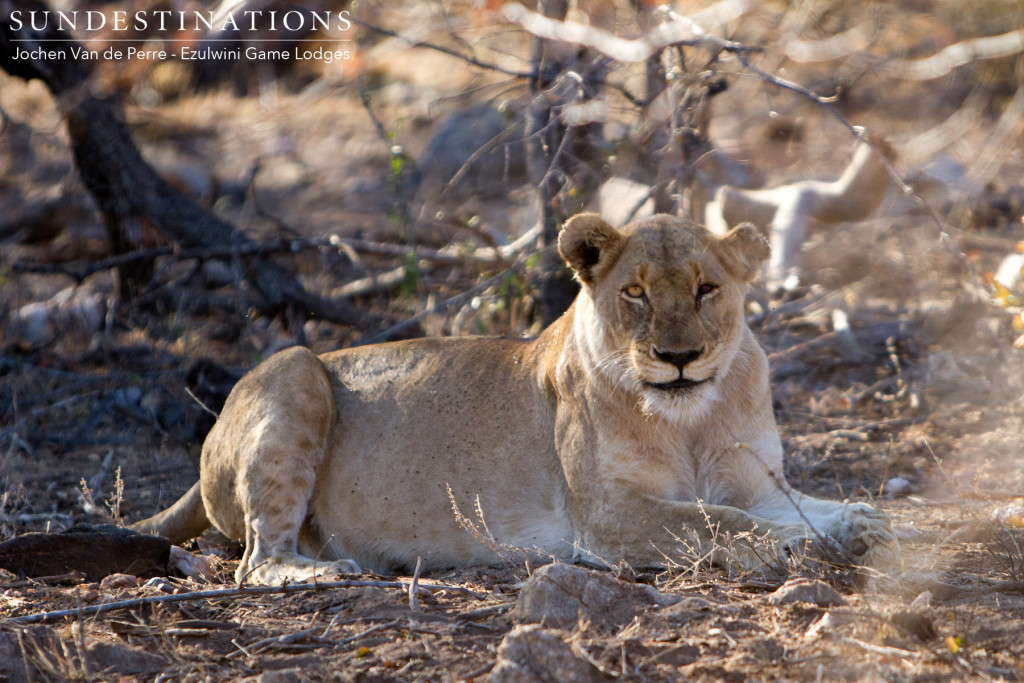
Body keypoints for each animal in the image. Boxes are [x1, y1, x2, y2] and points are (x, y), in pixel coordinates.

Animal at [132, 211, 901, 581]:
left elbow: (800, 506)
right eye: (636, 292)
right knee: (256, 561)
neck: (691, 419)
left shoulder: (756, 482)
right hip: (294, 368)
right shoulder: (609, 518)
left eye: (707, 287)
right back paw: (322, 573)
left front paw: (871, 521)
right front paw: (786, 547)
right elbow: (719, 521)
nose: (678, 358)